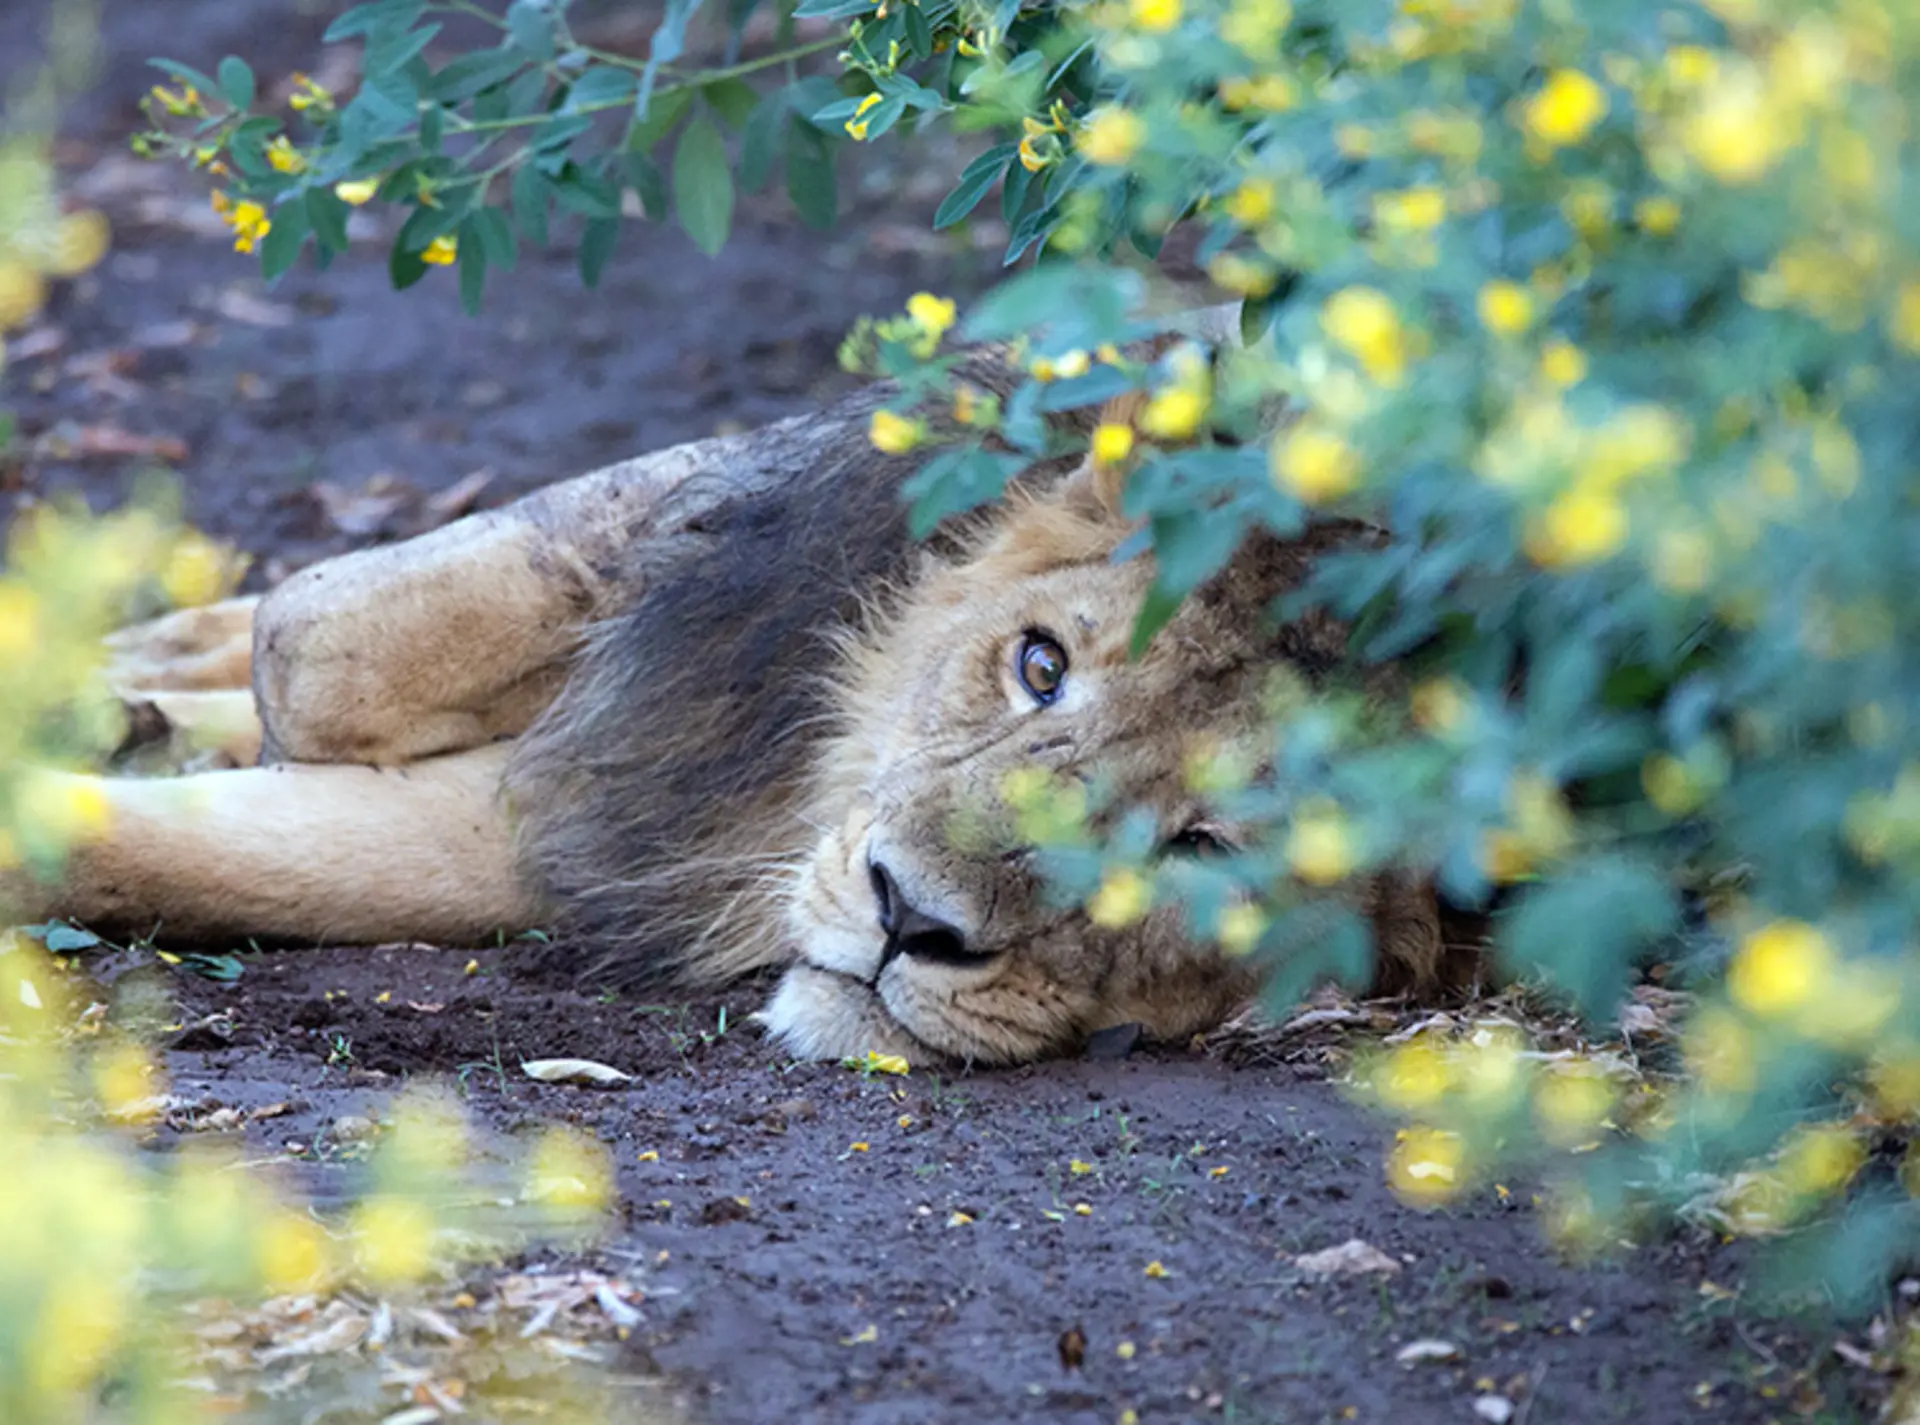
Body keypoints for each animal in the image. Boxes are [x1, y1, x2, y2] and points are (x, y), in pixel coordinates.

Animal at [5, 334, 1453, 1065]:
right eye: (1039, 666)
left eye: (1207, 851)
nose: (907, 920)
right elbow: (313, 648)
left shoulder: (584, 828)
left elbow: (215, 846)